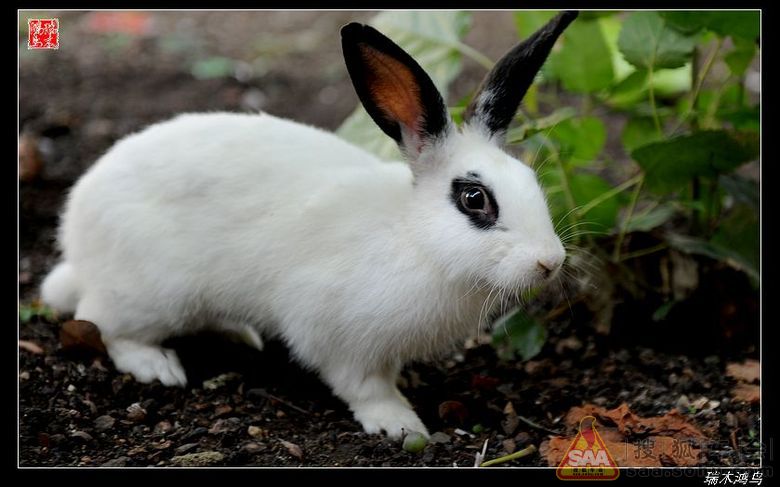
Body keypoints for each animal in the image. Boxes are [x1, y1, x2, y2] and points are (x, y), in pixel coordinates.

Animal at [41, 11, 580, 440]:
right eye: (474, 199)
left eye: (532, 181)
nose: (550, 262)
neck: (414, 239)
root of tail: (77, 238)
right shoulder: (336, 336)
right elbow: (364, 387)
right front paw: (399, 423)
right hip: (152, 292)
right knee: (101, 322)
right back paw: (158, 367)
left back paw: (240, 334)